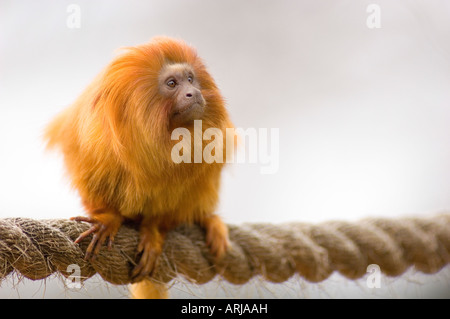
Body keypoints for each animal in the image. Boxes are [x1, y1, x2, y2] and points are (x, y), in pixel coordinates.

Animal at [44, 36, 236, 298]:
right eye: (172, 83)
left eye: (190, 79)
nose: (193, 92)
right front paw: (108, 219)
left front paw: (152, 231)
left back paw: (207, 221)